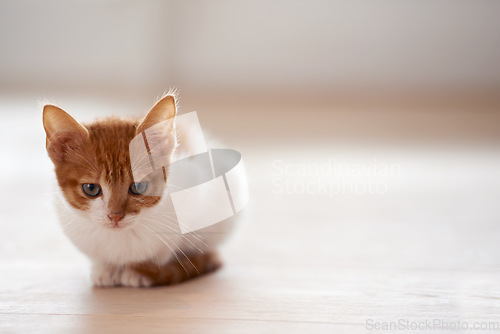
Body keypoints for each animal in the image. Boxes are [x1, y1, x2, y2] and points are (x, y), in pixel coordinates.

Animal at [42, 93, 229, 288]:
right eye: (91, 189)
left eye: (138, 187)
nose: (115, 216)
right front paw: (105, 268)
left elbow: (167, 246)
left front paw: (138, 270)